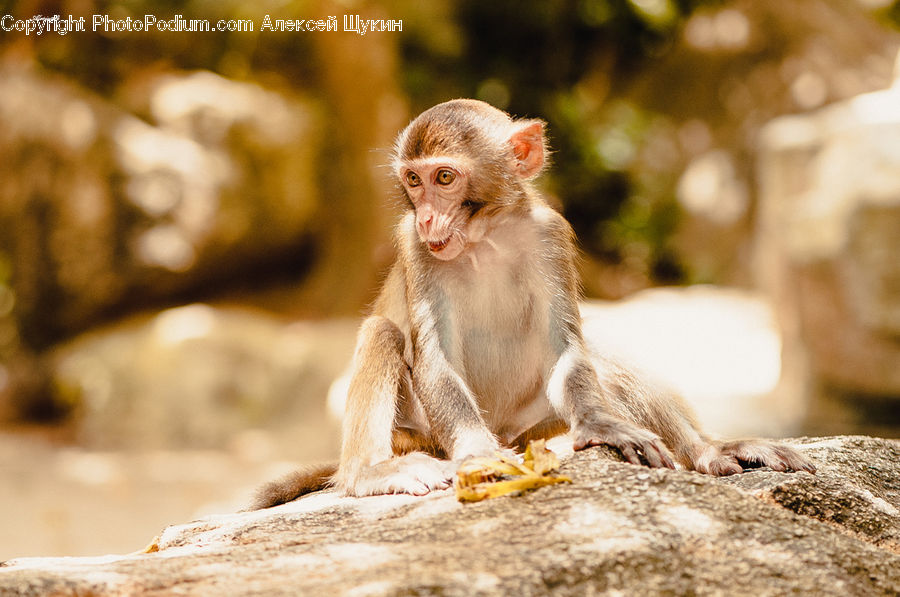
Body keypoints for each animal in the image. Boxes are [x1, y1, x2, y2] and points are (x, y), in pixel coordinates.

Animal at [248, 99, 816, 508]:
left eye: (444, 178)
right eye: (413, 180)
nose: (428, 218)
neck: (485, 238)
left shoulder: (549, 235)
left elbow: (567, 346)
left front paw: (603, 425)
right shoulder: (413, 246)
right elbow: (433, 360)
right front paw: (478, 454)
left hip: (534, 430)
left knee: (600, 356)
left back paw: (708, 451)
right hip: (419, 436)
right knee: (382, 333)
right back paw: (368, 473)